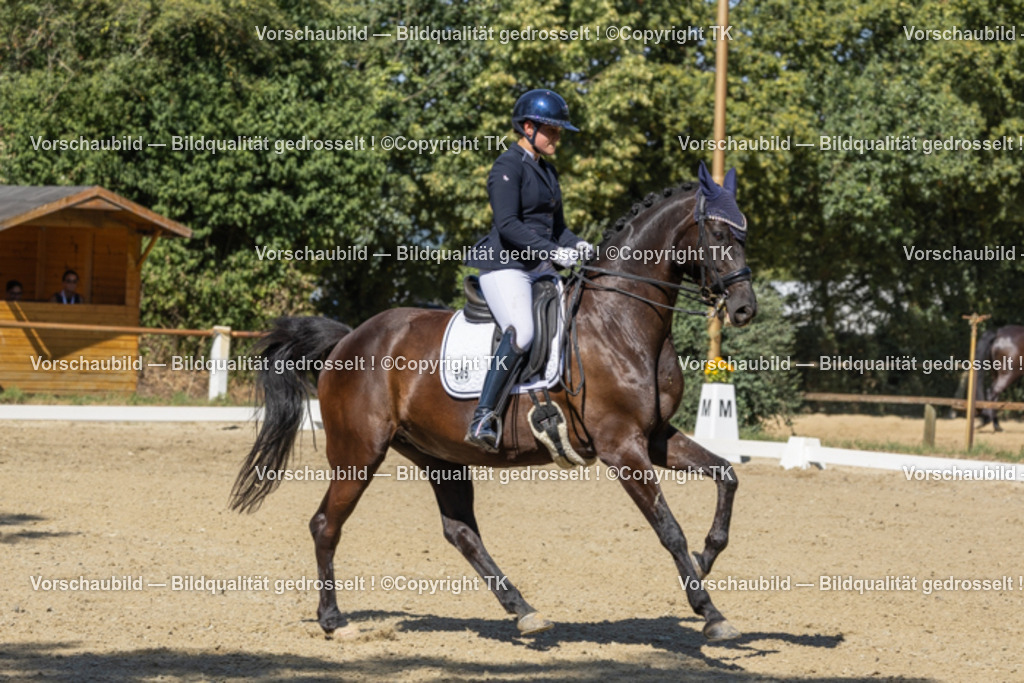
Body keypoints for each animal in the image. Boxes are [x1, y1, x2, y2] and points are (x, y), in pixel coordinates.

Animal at [230, 171, 758, 642]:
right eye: (717, 233)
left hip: (439, 457)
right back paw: (334, 621)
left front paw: (706, 561)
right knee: (327, 524)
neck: (620, 320)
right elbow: (669, 528)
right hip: (359, 452)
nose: (744, 308)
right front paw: (710, 611)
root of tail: (349, 339)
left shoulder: (654, 436)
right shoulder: (621, 447)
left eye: (743, 234)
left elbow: (727, 475)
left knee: (461, 531)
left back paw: (524, 611)